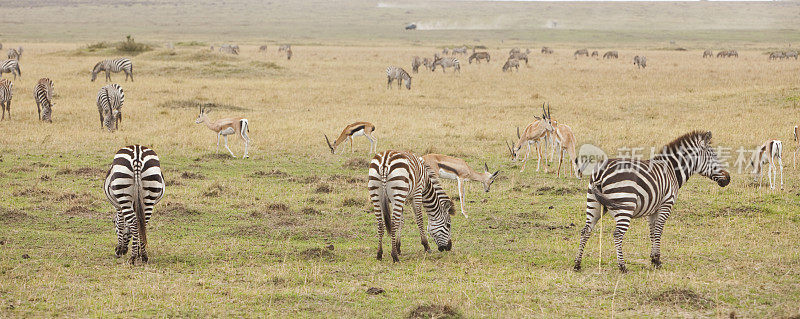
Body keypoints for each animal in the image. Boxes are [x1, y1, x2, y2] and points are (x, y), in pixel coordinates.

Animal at [576, 131, 732, 274]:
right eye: (714, 157)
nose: (728, 179)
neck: (672, 170)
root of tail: (601, 173)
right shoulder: (666, 204)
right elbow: (658, 231)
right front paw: (657, 260)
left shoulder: (652, 209)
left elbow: (652, 232)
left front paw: (653, 258)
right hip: (625, 204)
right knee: (618, 234)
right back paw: (622, 266)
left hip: (593, 204)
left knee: (585, 231)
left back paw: (577, 264)